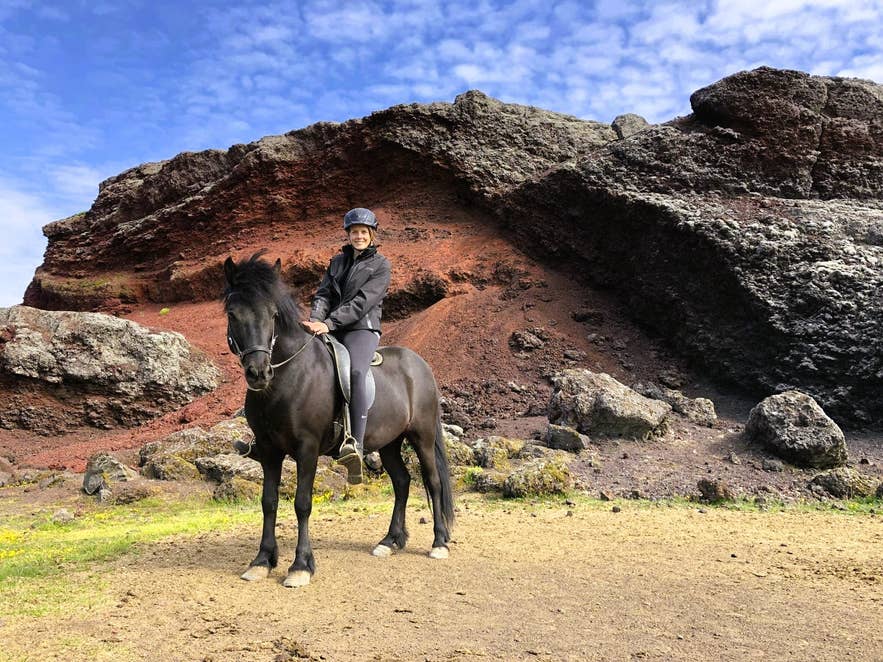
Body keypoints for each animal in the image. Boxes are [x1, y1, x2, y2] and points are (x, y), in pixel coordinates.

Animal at [222, 252, 455, 587]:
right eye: (232, 314)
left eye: (273, 314)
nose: (258, 372)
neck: (288, 377)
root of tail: (420, 365)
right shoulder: (269, 451)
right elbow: (268, 502)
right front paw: (262, 560)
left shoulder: (306, 449)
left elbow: (302, 503)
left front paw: (300, 566)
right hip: (389, 443)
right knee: (402, 482)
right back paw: (390, 541)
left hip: (422, 437)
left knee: (432, 482)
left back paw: (438, 543)